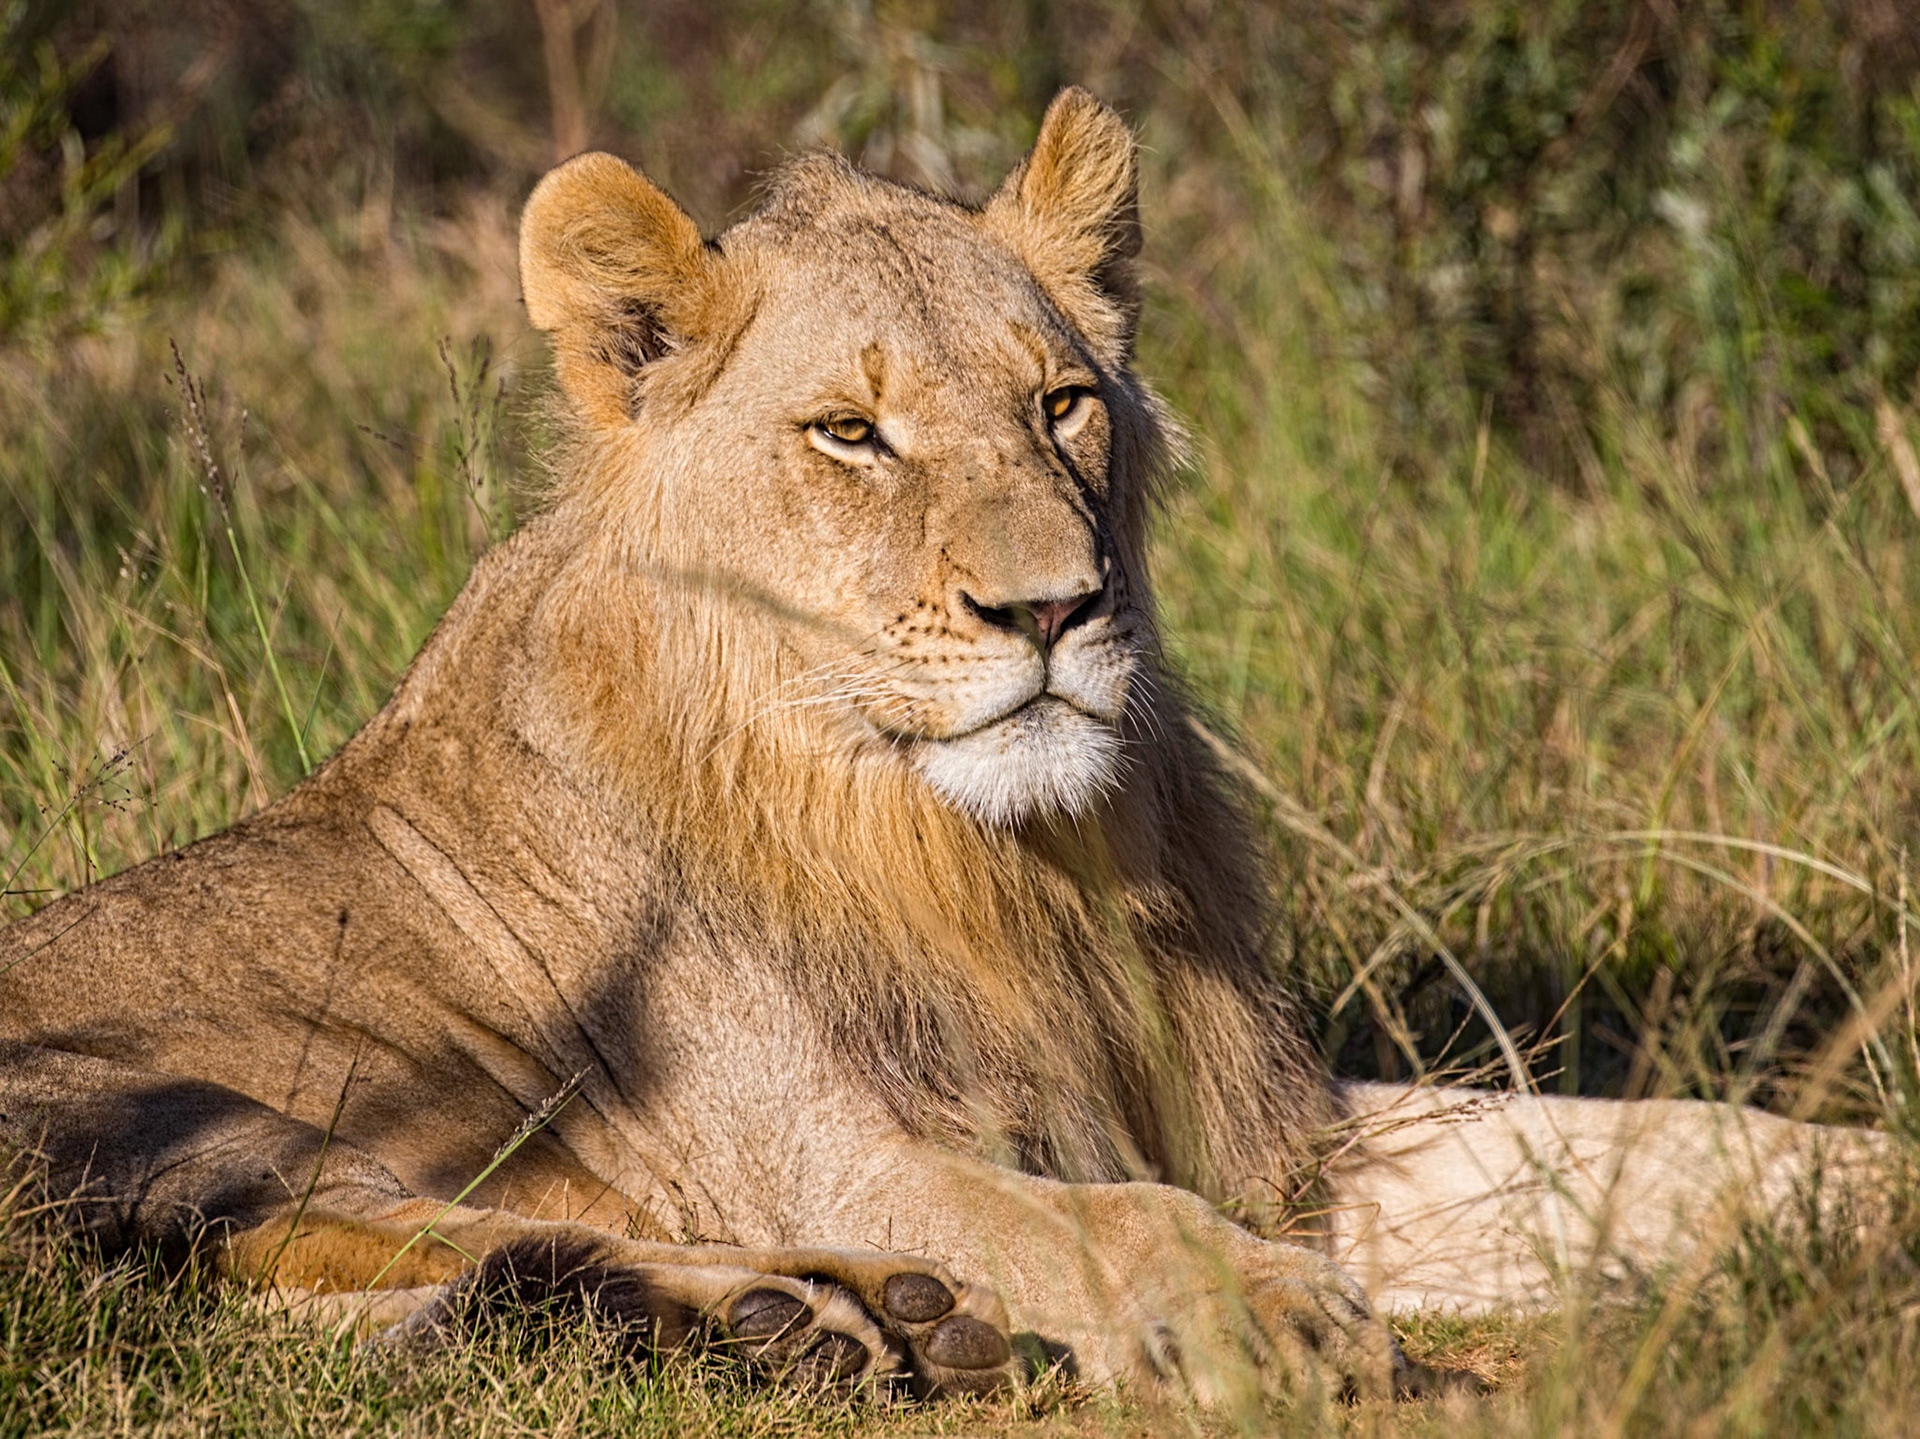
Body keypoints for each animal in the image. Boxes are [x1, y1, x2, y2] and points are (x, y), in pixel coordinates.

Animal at [0, 87, 1889, 1403]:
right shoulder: (817, 1143)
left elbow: (1647, 1141)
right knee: (299, 1261)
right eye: (852, 432)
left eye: (1062, 403)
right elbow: (1093, 1219)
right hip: (169, 1104)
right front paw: (1267, 1309)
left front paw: (1857, 1200)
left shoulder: (1272, 1129)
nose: (1051, 607)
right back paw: (786, 1316)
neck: (991, 855)